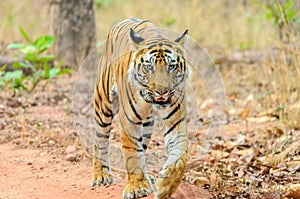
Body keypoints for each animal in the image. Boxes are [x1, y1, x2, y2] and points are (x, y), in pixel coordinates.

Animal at [92, 17, 190, 198]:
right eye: (149, 67)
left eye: (171, 66)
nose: (161, 91)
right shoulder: (129, 121)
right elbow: (132, 153)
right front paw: (137, 187)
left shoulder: (176, 122)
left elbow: (179, 156)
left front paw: (166, 186)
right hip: (103, 105)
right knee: (100, 141)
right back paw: (101, 175)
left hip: (147, 125)